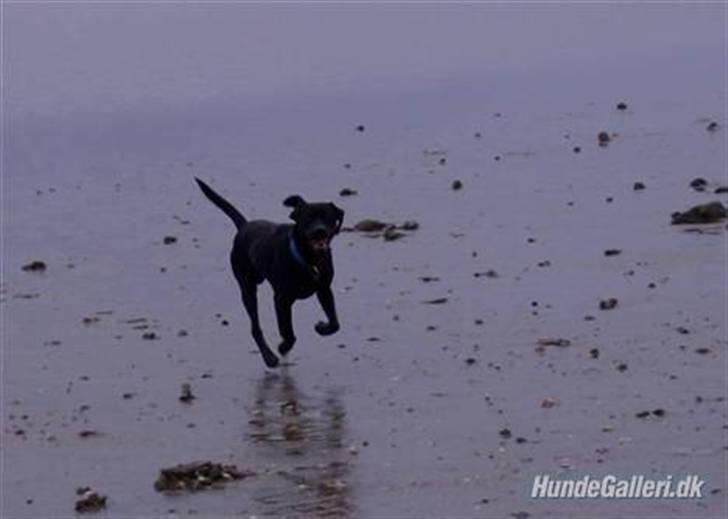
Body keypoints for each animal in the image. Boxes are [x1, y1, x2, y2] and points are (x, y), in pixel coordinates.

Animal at [192, 179, 342, 370]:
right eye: (308, 218)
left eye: (327, 217)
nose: (320, 230)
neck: (307, 259)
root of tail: (244, 226)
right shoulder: (281, 300)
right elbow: (289, 333)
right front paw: (283, 347)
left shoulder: (324, 289)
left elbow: (335, 324)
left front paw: (322, 328)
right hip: (247, 288)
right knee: (255, 327)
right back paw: (269, 357)